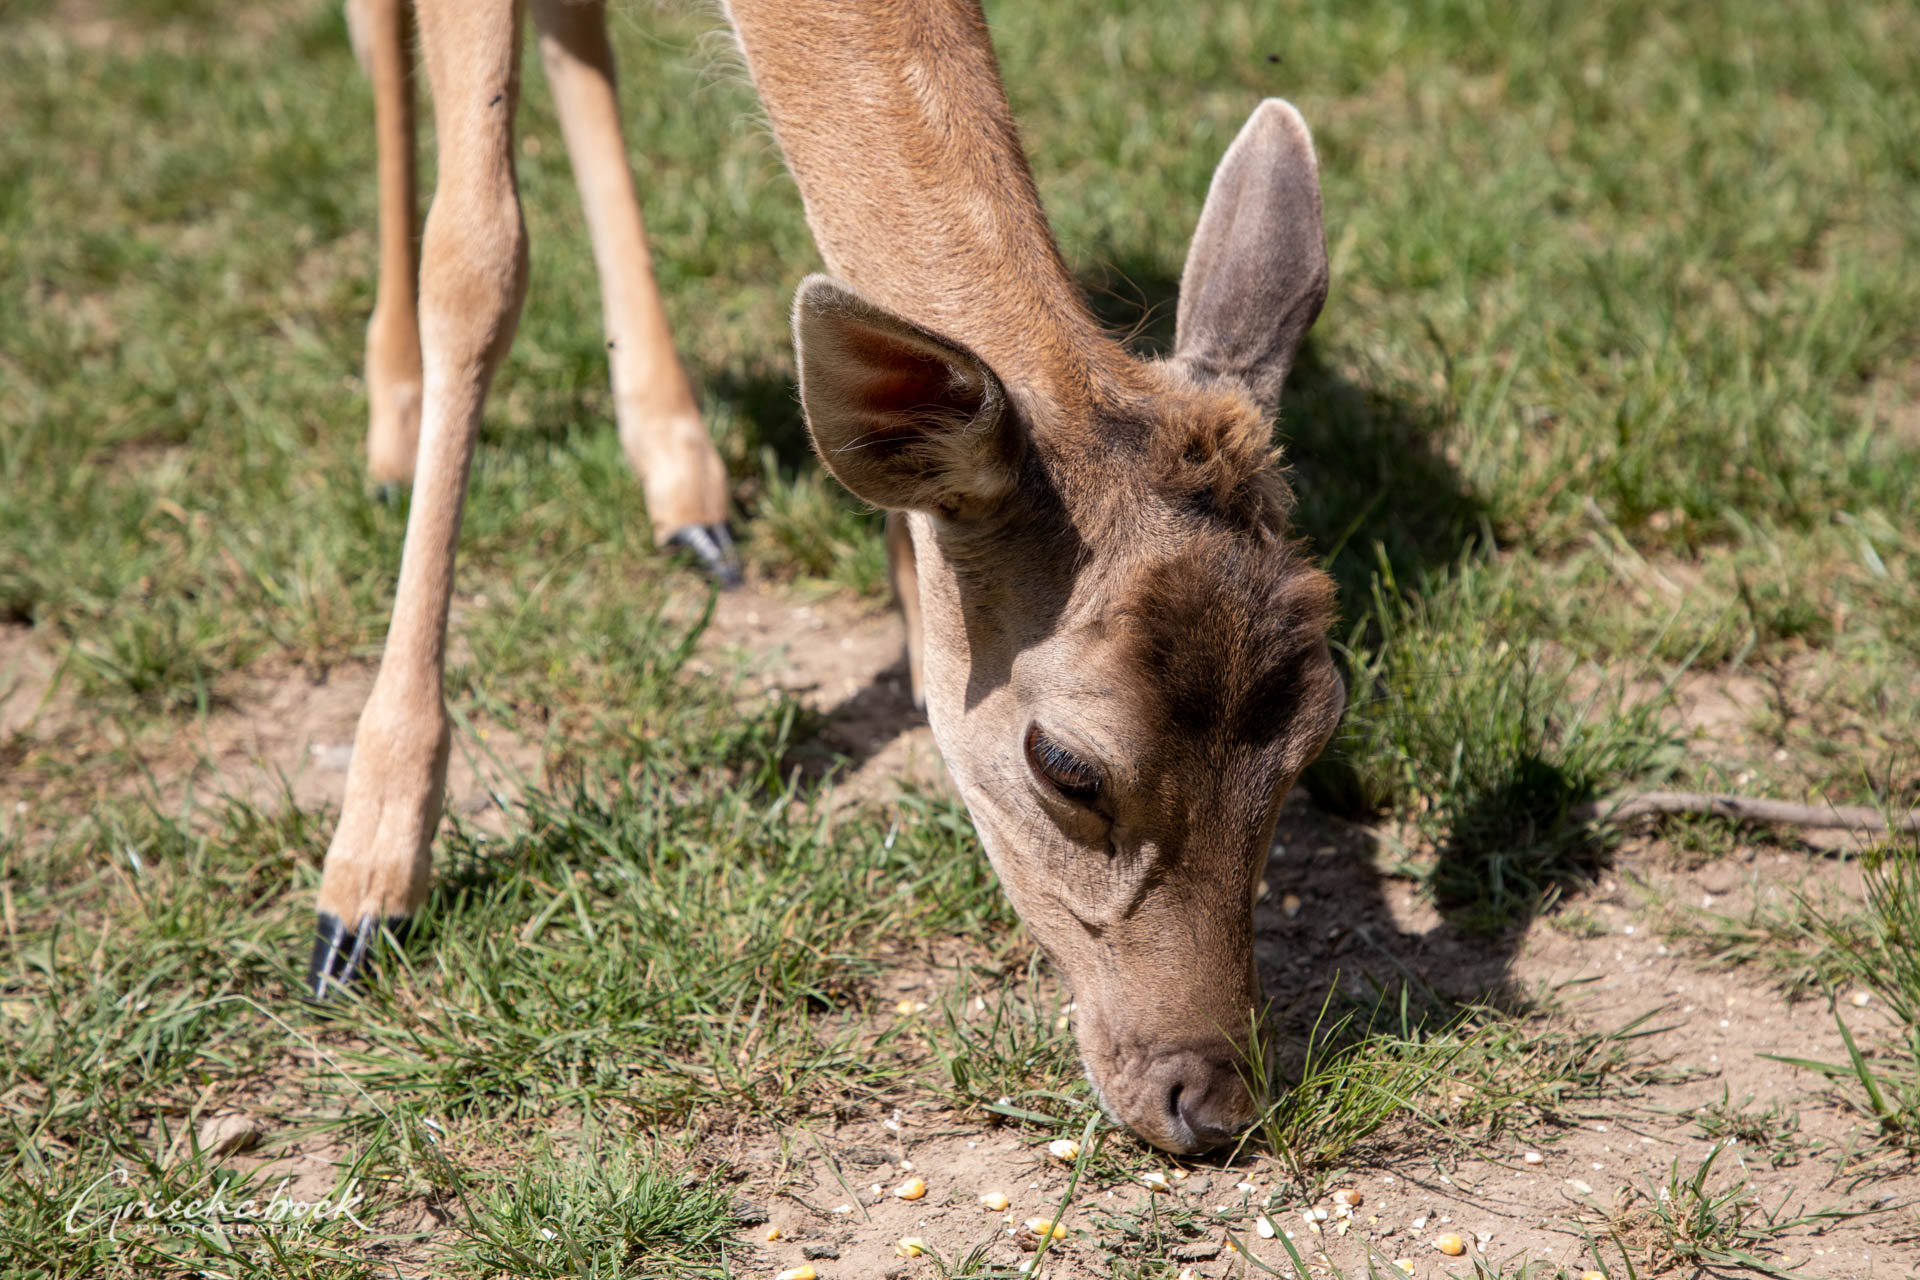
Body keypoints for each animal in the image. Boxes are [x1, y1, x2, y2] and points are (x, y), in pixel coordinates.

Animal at [318, 0, 1336, 1159]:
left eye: (1321, 730)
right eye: (1068, 765)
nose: (1214, 1101)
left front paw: (907, 601)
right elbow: (477, 259)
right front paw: (366, 885)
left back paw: (685, 484)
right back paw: (392, 431)